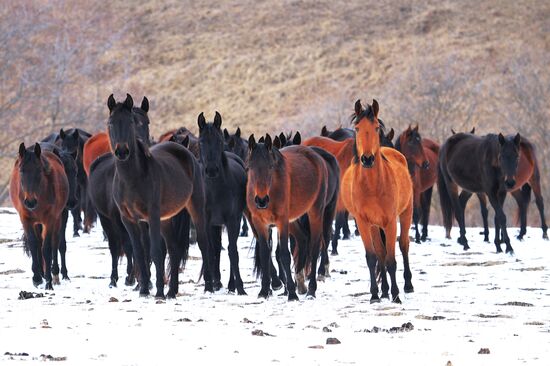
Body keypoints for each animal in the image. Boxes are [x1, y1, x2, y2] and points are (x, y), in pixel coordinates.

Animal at [10, 142, 69, 288]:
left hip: (57, 219)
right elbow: (33, 244)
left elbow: (46, 248)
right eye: (21, 171)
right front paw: (37, 277)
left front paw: (48, 282)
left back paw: (54, 275)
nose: (30, 202)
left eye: (39, 171)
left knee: (54, 243)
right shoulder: (26, 219)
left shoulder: (49, 220)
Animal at [198, 111, 248, 294]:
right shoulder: (206, 221)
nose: (212, 170)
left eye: (219, 141)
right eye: (201, 141)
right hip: (215, 225)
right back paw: (216, 282)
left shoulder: (232, 221)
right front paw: (208, 286)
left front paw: (239, 287)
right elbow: (209, 250)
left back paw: (230, 284)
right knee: (216, 249)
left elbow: (233, 251)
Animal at [248, 134, 330, 300]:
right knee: (303, 239)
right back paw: (301, 284)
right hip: (293, 221)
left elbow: (284, 254)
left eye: (270, 167)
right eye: (250, 167)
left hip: (315, 212)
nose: (261, 200)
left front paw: (291, 293)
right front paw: (264, 291)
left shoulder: (281, 222)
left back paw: (311, 290)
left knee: (314, 247)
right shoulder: (259, 223)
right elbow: (265, 254)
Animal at [340, 99, 414, 304]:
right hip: (374, 226)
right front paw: (375, 294)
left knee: (404, 245)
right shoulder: (364, 223)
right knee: (380, 253)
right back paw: (384, 291)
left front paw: (396, 295)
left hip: (406, 213)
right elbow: (372, 257)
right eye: (357, 128)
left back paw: (408, 285)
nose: (367, 159)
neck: (373, 187)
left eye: (375, 128)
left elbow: (391, 260)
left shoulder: (390, 222)